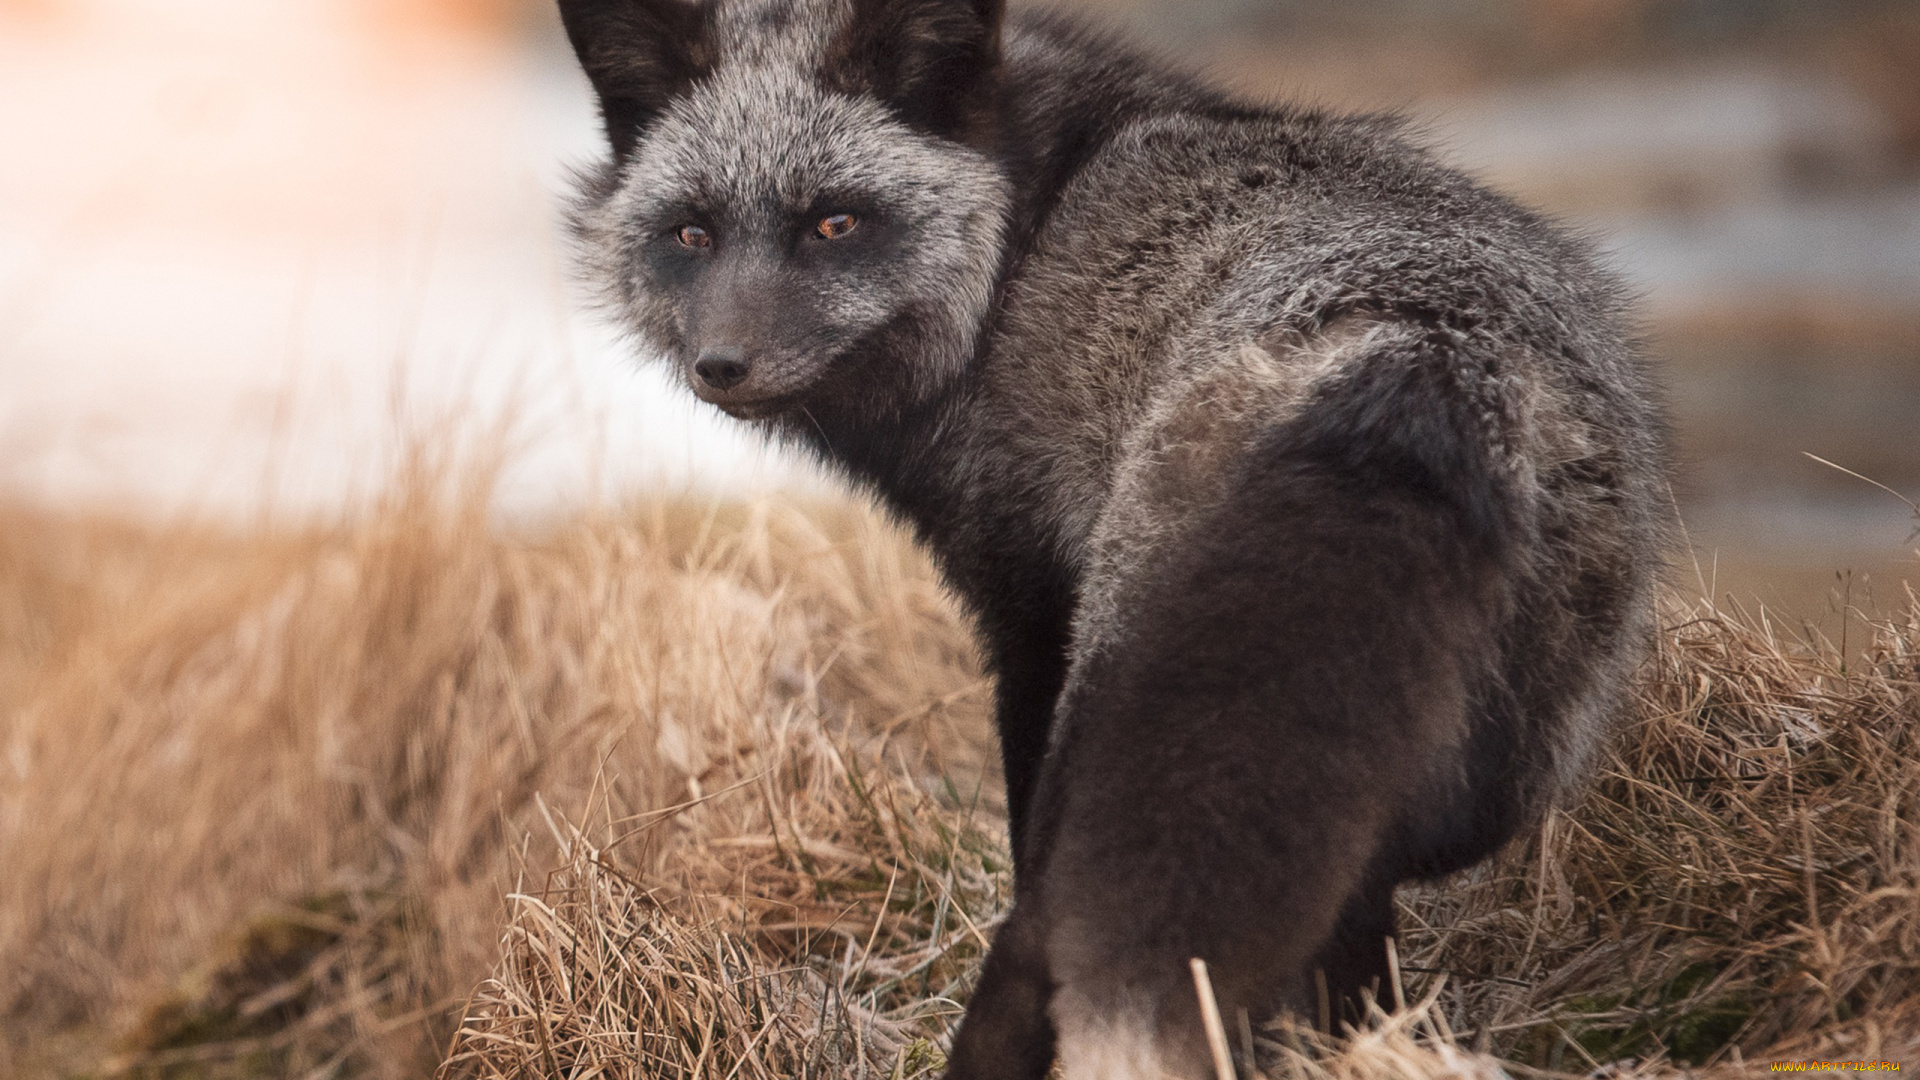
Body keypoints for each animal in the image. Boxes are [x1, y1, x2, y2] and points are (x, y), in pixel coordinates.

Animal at [555, 0, 1668, 1076]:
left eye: (835, 222)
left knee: (1043, 932)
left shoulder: (1029, 617)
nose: (721, 364)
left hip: (1118, 706)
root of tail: (1416, 363)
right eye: (691, 233)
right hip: (1489, 770)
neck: (1020, 242)